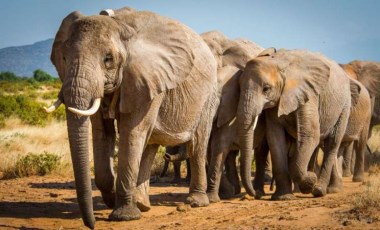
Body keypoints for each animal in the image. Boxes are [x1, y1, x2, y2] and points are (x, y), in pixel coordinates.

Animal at [45, 6, 218, 228]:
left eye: (108, 59)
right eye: (64, 58)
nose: (91, 224)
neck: (119, 26)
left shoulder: (148, 78)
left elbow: (131, 132)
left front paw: (124, 216)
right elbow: (102, 133)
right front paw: (111, 199)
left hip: (208, 96)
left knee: (197, 143)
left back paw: (195, 202)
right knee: (150, 143)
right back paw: (142, 204)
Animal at [238, 47, 354, 199]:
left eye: (266, 89)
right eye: (239, 87)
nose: (255, 194)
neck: (279, 63)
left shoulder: (308, 93)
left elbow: (310, 134)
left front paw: (310, 180)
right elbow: (275, 138)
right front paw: (283, 198)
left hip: (344, 105)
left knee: (332, 143)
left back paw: (318, 190)